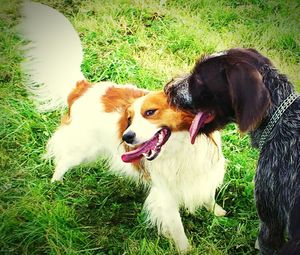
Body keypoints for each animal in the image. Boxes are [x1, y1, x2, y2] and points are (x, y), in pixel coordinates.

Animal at [19, 0, 226, 252]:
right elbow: (178, 230)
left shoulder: (204, 173)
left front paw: (217, 212)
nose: (126, 137)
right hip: (81, 150)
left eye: (150, 112)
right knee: (62, 160)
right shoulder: (165, 193)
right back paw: (55, 185)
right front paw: (186, 249)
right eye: (129, 119)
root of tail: (84, 87)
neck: (181, 147)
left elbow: (209, 196)